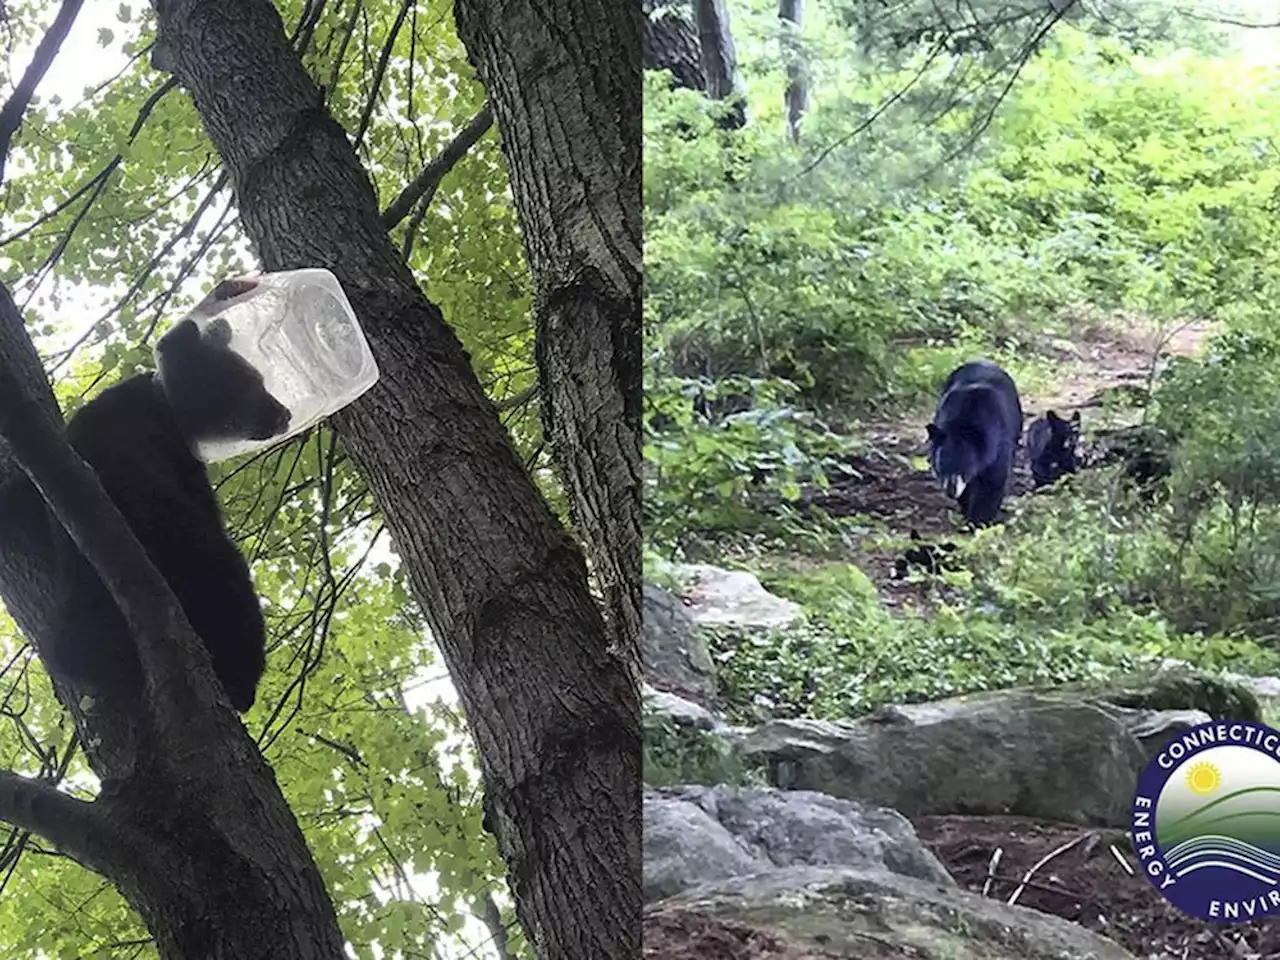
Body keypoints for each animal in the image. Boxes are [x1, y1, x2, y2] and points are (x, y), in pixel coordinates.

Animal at [24, 293, 289, 716]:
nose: (284, 412)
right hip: (188, 550)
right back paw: (240, 680)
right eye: (253, 383)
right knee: (228, 587)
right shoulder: (180, 463)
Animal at [926, 358, 1024, 527]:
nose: (950, 492)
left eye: (964, 468)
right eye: (940, 468)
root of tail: (982, 360)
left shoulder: (998, 444)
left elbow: (992, 483)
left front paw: (979, 522)